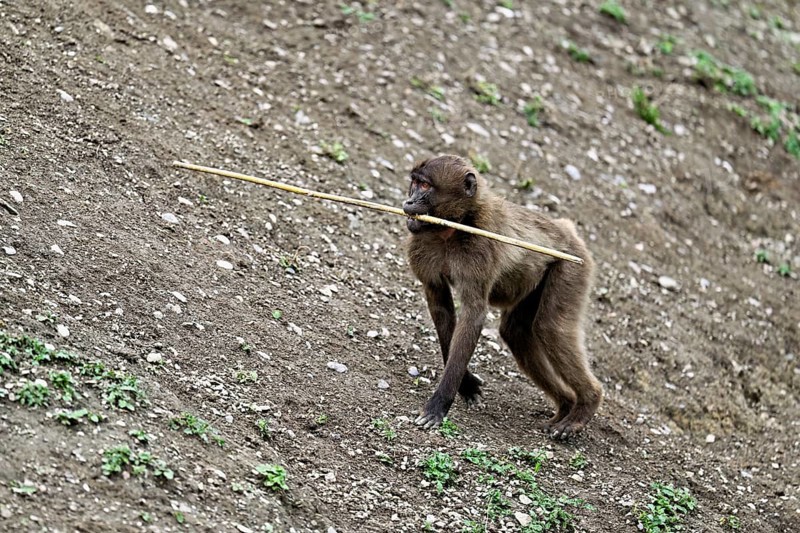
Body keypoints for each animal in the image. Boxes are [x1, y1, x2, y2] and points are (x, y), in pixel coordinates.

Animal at [403, 155, 602, 439]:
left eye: (425, 186)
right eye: (415, 183)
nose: (408, 202)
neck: (457, 225)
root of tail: (567, 230)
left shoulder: (479, 250)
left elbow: (474, 314)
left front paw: (439, 404)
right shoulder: (421, 244)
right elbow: (441, 307)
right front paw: (466, 384)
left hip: (572, 265)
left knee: (550, 328)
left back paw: (585, 406)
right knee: (516, 332)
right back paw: (567, 405)